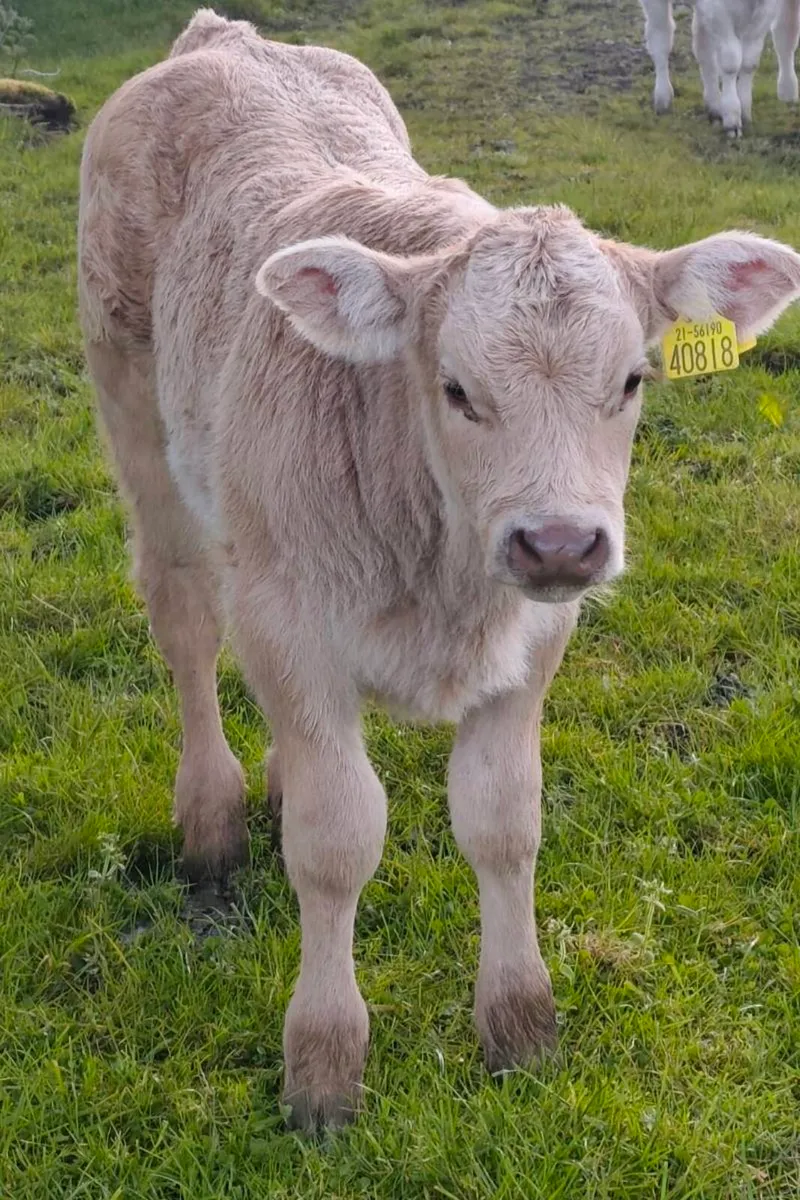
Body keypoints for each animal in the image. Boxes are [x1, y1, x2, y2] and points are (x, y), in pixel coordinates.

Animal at [78, 8, 800, 1129]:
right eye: (456, 389)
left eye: (631, 380)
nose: (559, 543)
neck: (443, 575)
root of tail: (223, 36)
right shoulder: (290, 616)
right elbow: (337, 839)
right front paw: (323, 1068)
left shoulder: (535, 635)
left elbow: (502, 821)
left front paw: (520, 1026)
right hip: (132, 404)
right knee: (187, 622)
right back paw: (212, 814)